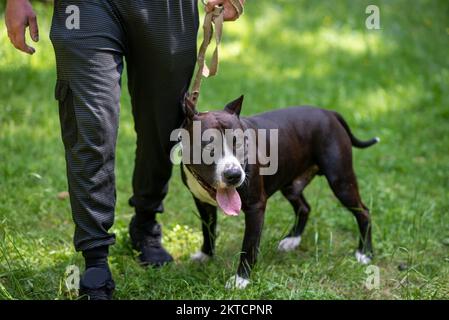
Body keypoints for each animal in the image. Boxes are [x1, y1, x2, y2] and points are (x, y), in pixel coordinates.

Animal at [177, 96, 376, 288]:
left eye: (239, 143)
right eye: (208, 147)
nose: (233, 175)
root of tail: (329, 113)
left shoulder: (256, 207)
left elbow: (249, 246)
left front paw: (241, 279)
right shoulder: (202, 203)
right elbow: (208, 229)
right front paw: (206, 255)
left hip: (341, 182)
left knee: (363, 212)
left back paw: (364, 253)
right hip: (291, 185)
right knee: (304, 207)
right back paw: (292, 240)